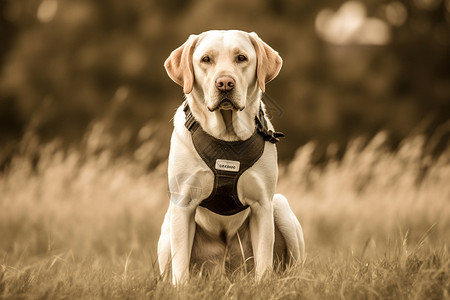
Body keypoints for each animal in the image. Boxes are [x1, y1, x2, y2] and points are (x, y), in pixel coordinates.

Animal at [156, 29, 304, 284]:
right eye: (206, 59)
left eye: (241, 58)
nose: (225, 83)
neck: (226, 138)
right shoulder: (183, 203)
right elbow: (181, 266)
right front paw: (182, 288)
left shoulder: (262, 204)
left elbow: (264, 261)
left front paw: (262, 286)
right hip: (168, 229)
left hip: (280, 206)